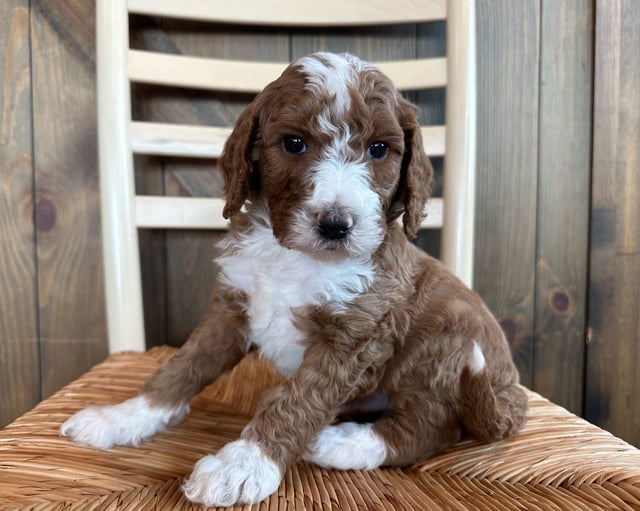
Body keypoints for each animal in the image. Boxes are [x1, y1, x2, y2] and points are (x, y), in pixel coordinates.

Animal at [62, 52, 528, 508]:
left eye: (379, 149)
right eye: (294, 143)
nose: (336, 225)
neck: (299, 259)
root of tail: (509, 394)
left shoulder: (355, 338)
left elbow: (298, 399)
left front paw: (243, 464)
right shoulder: (232, 308)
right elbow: (182, 366)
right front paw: (124, 416)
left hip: (450, 340)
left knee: (430, 428)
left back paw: (340, 444)